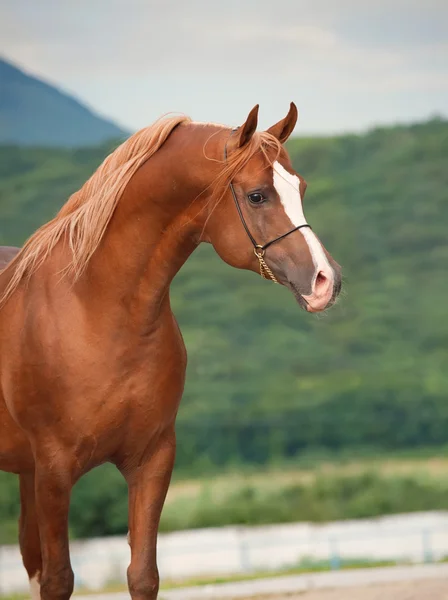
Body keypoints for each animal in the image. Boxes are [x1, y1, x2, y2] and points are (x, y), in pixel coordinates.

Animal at [0, 104, 340, 600]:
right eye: (257, 196)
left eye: (301, 189)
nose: (325, 281)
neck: (96, 309)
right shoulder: (53, 471)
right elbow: (59, 579)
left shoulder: (152, 459)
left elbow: (143, 575)